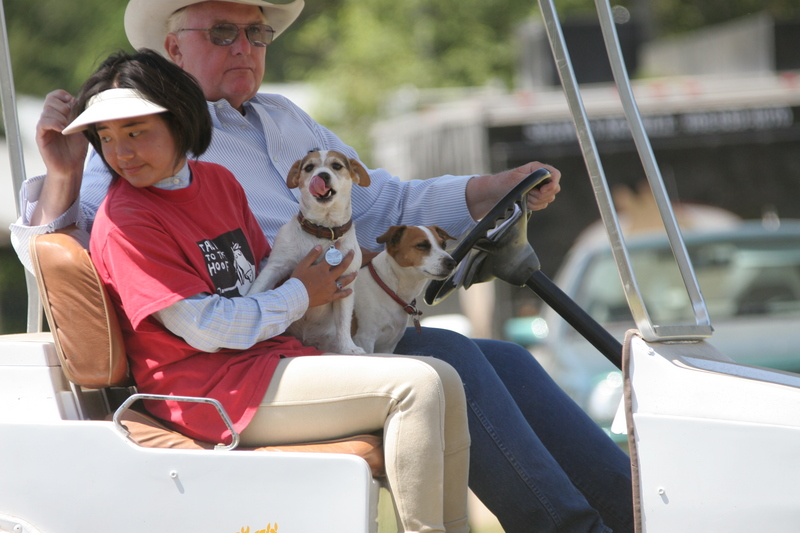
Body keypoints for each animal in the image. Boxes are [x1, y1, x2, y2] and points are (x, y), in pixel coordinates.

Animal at [248, 150, 370, 354]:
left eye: (336, 166)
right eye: (309, 167)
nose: (322, 175)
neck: (323, 232)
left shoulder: (346, 285)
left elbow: (343, 323)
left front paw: (349, 348)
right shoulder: (275, 267)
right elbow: (256, 291)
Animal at [352, 225, 457, 353]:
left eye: (443, 245)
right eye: (422, 245)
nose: (452, 263)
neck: (389, 289)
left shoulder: (387, 346)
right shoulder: (365, 339)